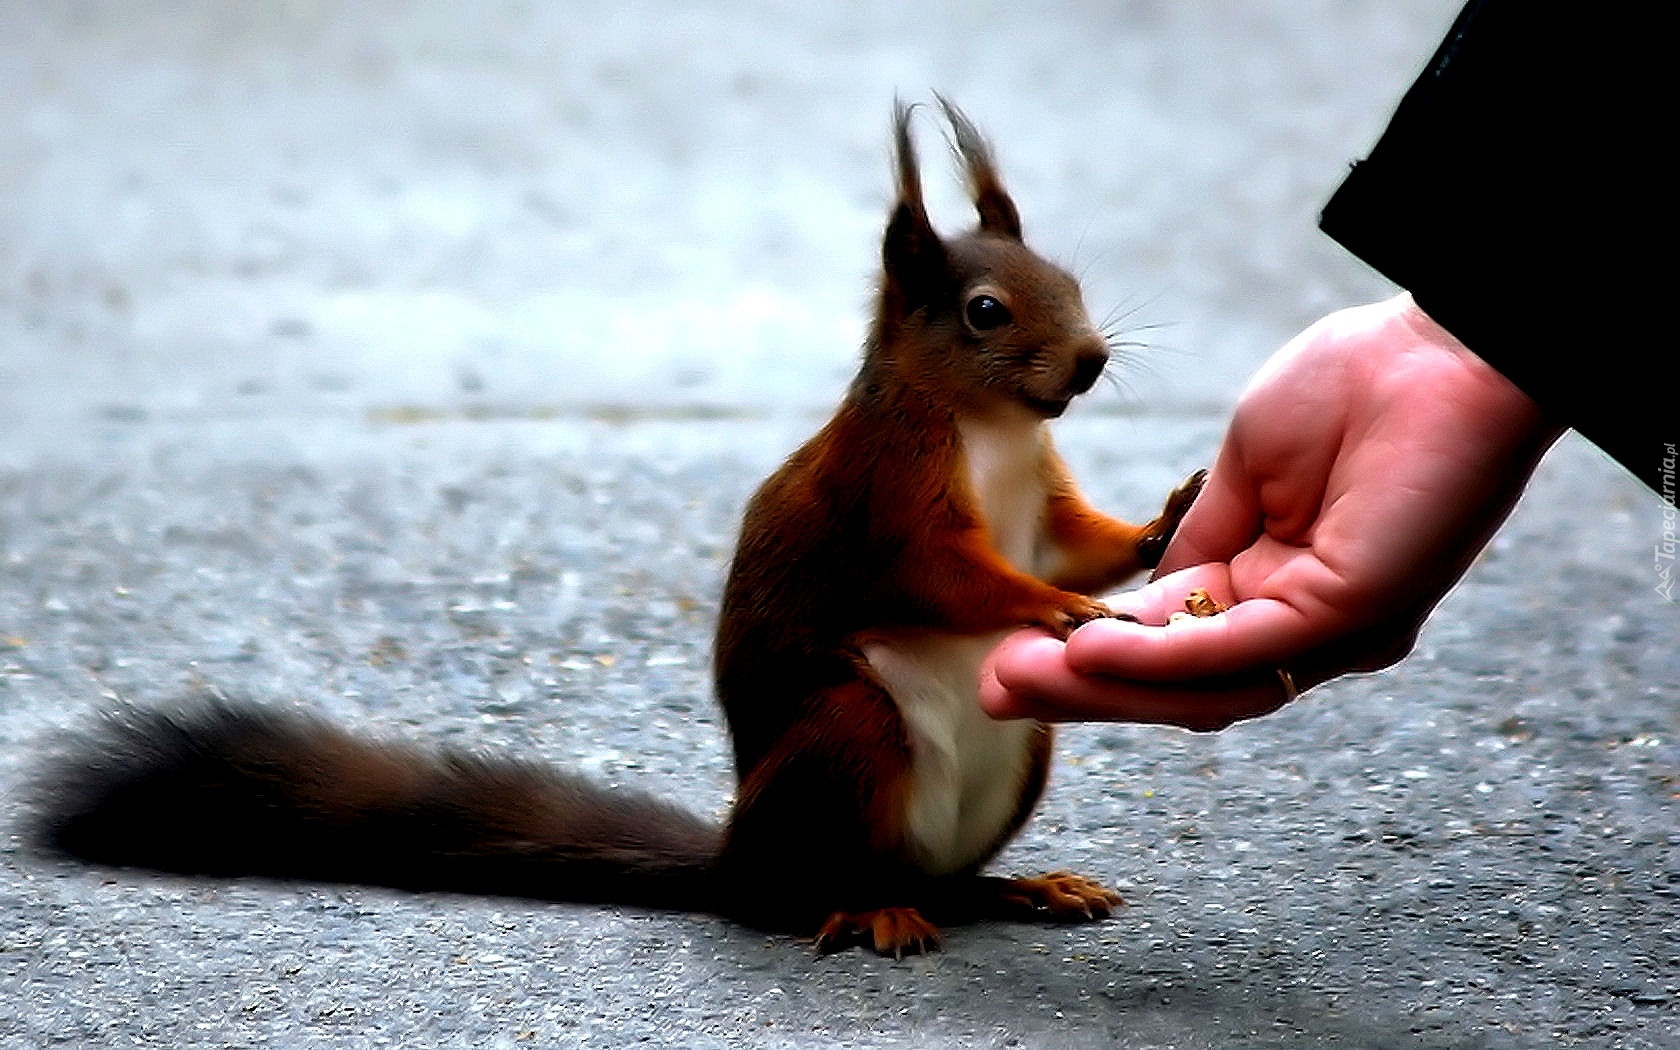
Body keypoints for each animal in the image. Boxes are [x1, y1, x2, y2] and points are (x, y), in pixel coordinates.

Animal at [29, 100, 1209, 960]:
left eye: (1071, 282)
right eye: (984, 312)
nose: (1094, 360)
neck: (992, 429)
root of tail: (734, 857)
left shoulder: (1039, 500)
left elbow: (1076, 540)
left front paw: (1164, 526)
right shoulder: (888, 498)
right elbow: (953, 576)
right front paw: (1059, 608)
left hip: (1017, 754)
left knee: (947, 883)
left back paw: (1018, 887)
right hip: (849, 734)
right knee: (799, 894)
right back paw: (859, 910)